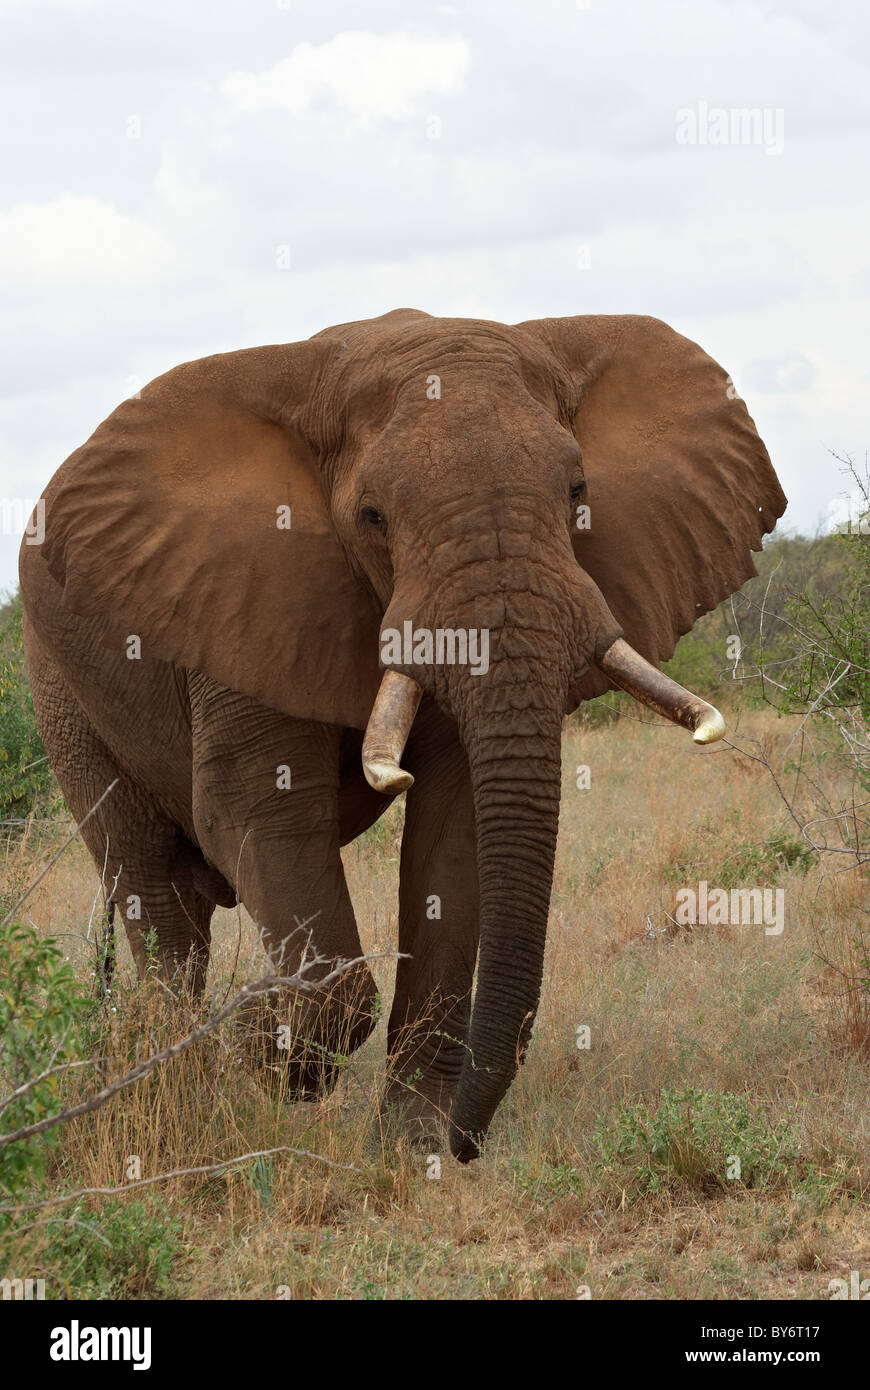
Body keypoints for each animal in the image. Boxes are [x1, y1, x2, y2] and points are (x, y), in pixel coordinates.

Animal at [20, 307, 783, 1162]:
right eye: (373, 517)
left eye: (579, 491)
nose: (470, 1142)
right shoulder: (244, 600)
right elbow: (257, 816)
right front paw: (259, 1039)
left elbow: (454, 832)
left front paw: (412, 1149)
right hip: (59, 689)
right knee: (155, 895)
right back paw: (178, 1100)